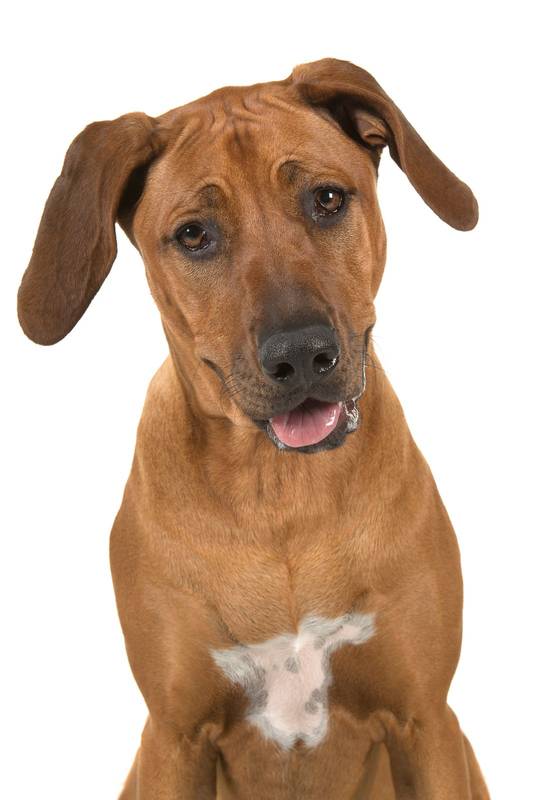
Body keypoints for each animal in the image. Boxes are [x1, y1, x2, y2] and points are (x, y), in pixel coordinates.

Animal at [18, 58, 489, 799]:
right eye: (193, 235)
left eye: (327, 198)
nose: (301, 355)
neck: (278, 492)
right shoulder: (175, 735)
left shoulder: (425, 720)